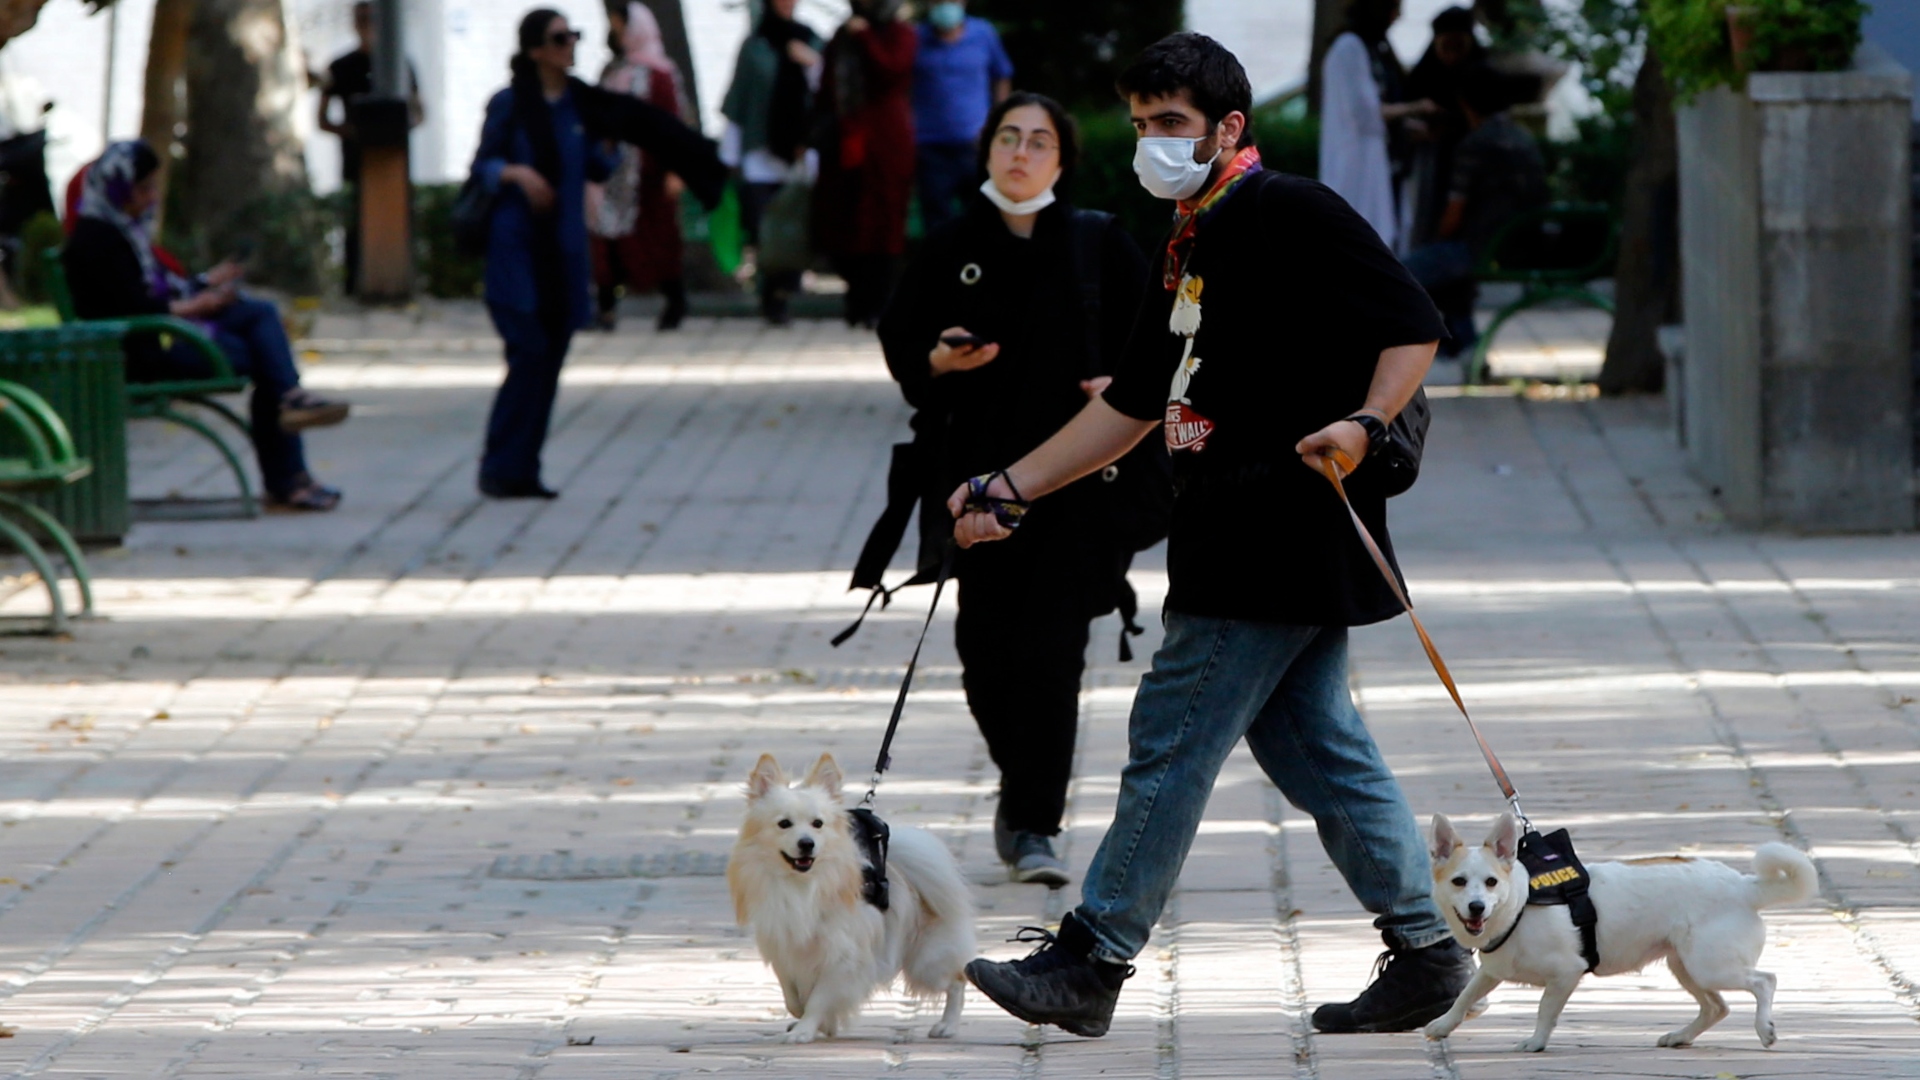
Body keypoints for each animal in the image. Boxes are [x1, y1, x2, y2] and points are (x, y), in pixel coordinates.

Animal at [729, 753, 983, 1037]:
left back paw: (947, 1025)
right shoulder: (784, 949)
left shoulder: (842, 956)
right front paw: (820, 1024)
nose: (807, 843)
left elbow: (819, 998)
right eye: (784, 824)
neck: (803, 885)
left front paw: (805, 1030)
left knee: (958, 980)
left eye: (818, 824)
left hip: (927, 960)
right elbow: (793, 997)